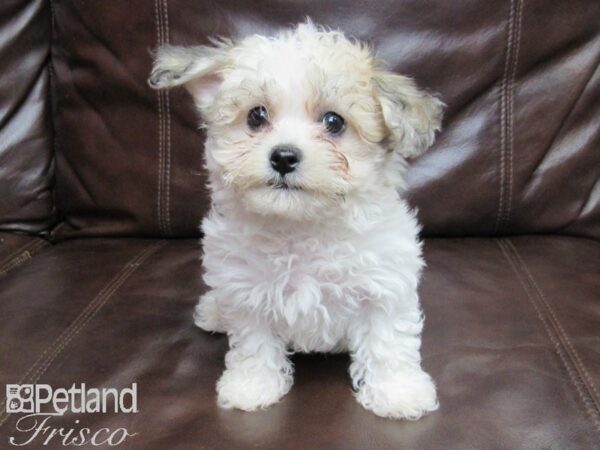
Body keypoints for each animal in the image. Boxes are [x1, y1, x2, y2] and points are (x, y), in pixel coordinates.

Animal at [148, 22, 442, 420]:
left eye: (334, 121)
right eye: (256, 116)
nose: (284, 156)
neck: (301, 225)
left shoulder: (384, 285)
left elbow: (389, 342)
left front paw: (398, 393)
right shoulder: (246, 291)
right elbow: (253, 344)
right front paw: (252, 387)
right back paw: (213, 310)